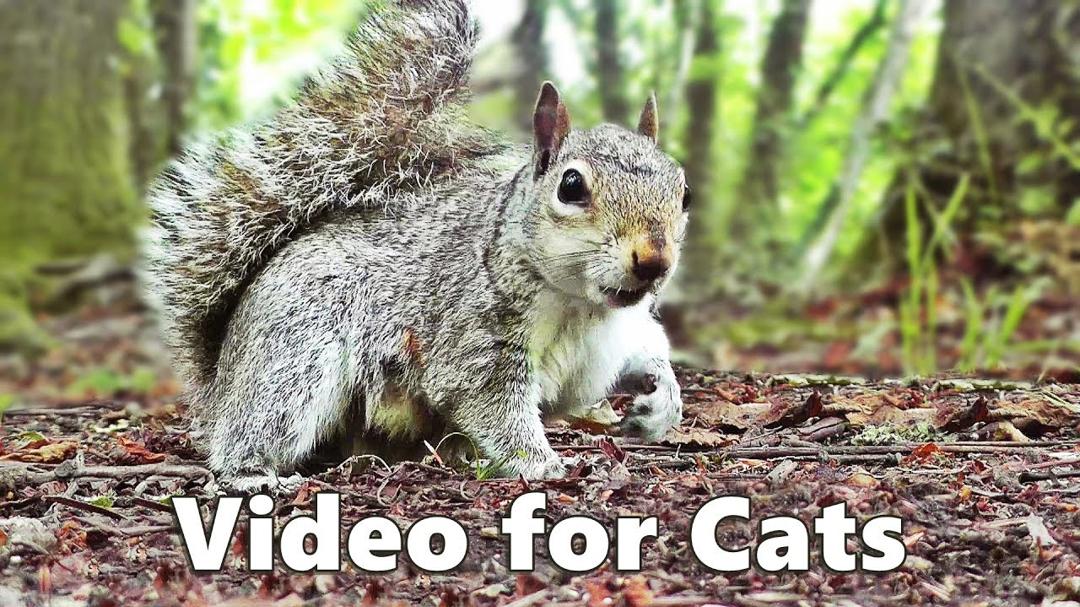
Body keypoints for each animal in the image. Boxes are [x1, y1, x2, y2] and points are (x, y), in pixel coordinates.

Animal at [142, 0, 689, 489]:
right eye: (571, 186)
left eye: (683, 191)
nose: (654, 259)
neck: (584, 306)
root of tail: (221, 380)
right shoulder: (474, 339)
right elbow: (494, 405)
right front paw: (542, 463)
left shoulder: (624, 329)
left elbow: (649, 349)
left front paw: (663, 400)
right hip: (294, 351)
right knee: (254, 426)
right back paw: (251, 472)